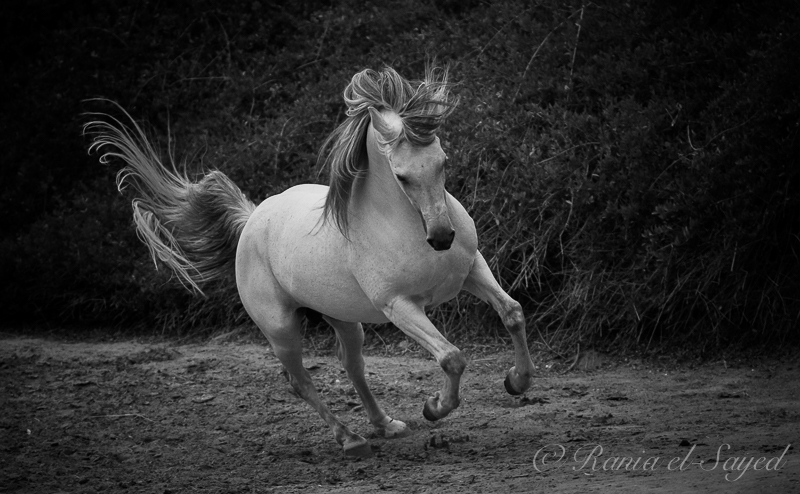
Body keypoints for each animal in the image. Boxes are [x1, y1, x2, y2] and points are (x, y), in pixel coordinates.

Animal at [85, 66, 535, 458]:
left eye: (443, 163)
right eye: (402, 176)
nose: (442, 238)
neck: (401, 224)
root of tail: (252, 219)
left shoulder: (472, 269)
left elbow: (512, 313)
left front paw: (517, 381)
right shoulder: (401, 306)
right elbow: (451, 357)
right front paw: (434, 407)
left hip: (344, 318)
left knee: (352, 367)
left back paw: (386, 425)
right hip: (281, 328)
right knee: (299, 382)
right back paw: (351, 440)